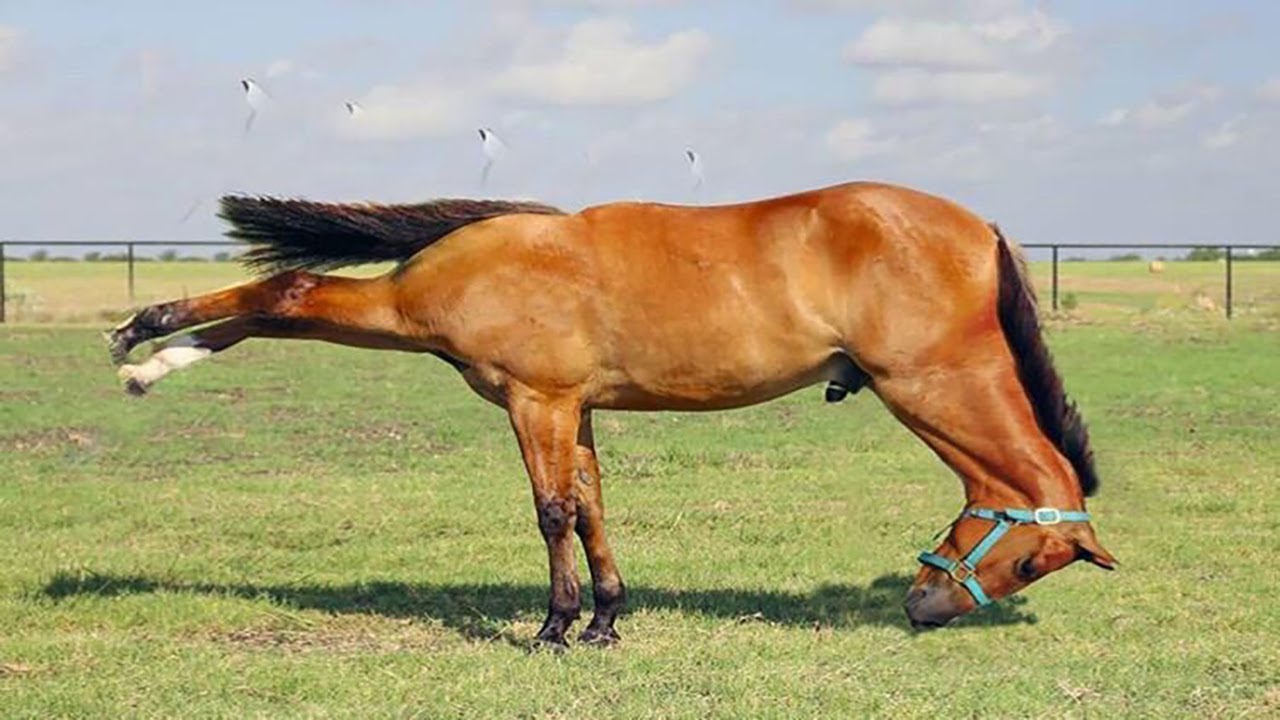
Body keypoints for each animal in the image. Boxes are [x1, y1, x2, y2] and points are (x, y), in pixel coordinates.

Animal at [106, 181, 1116, 645]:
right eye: (1030, 558)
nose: (925, 610)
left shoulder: (567, 408)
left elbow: (588, 508)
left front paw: (601, 620)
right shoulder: (540, 400)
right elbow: (559, 509)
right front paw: (558, 628)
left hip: (405, 321)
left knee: (290, 294)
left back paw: (150, 357)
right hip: (408, 315)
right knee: (292, 287)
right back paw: (143, 337)